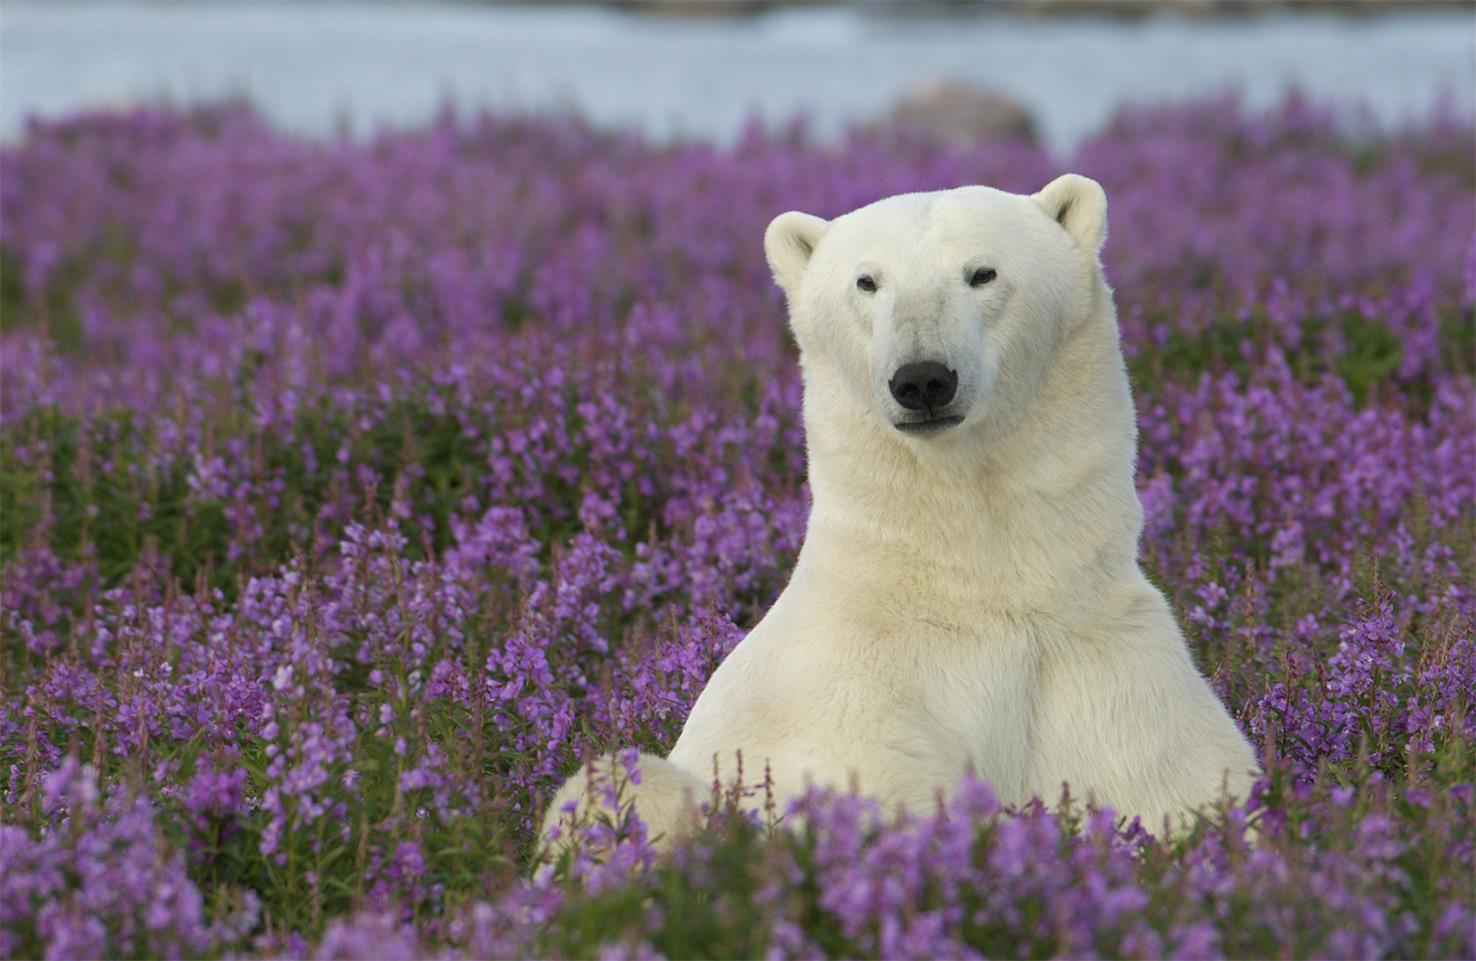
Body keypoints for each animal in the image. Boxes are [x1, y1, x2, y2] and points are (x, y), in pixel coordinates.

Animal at [543, 174, 1257, 856]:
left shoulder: (1110, 678)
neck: (972, 588)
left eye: (982, 272)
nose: (922, 379)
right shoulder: (846, 711)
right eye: (867, 281)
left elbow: (1184, 798)